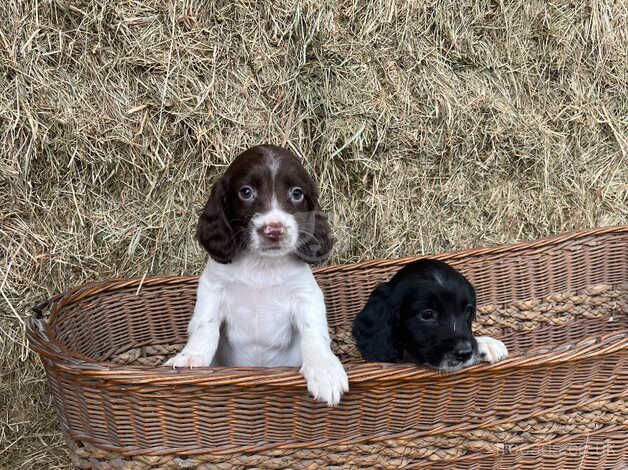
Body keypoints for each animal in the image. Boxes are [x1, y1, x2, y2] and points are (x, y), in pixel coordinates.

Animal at [167, 145, 350, 406]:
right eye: (246, 192)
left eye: (297, 193)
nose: (274, 230)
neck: (261, 265)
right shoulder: (212, 288)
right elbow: (205, 326)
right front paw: (191, 357)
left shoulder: (306, 295)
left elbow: (313, 332)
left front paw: (325, 370)